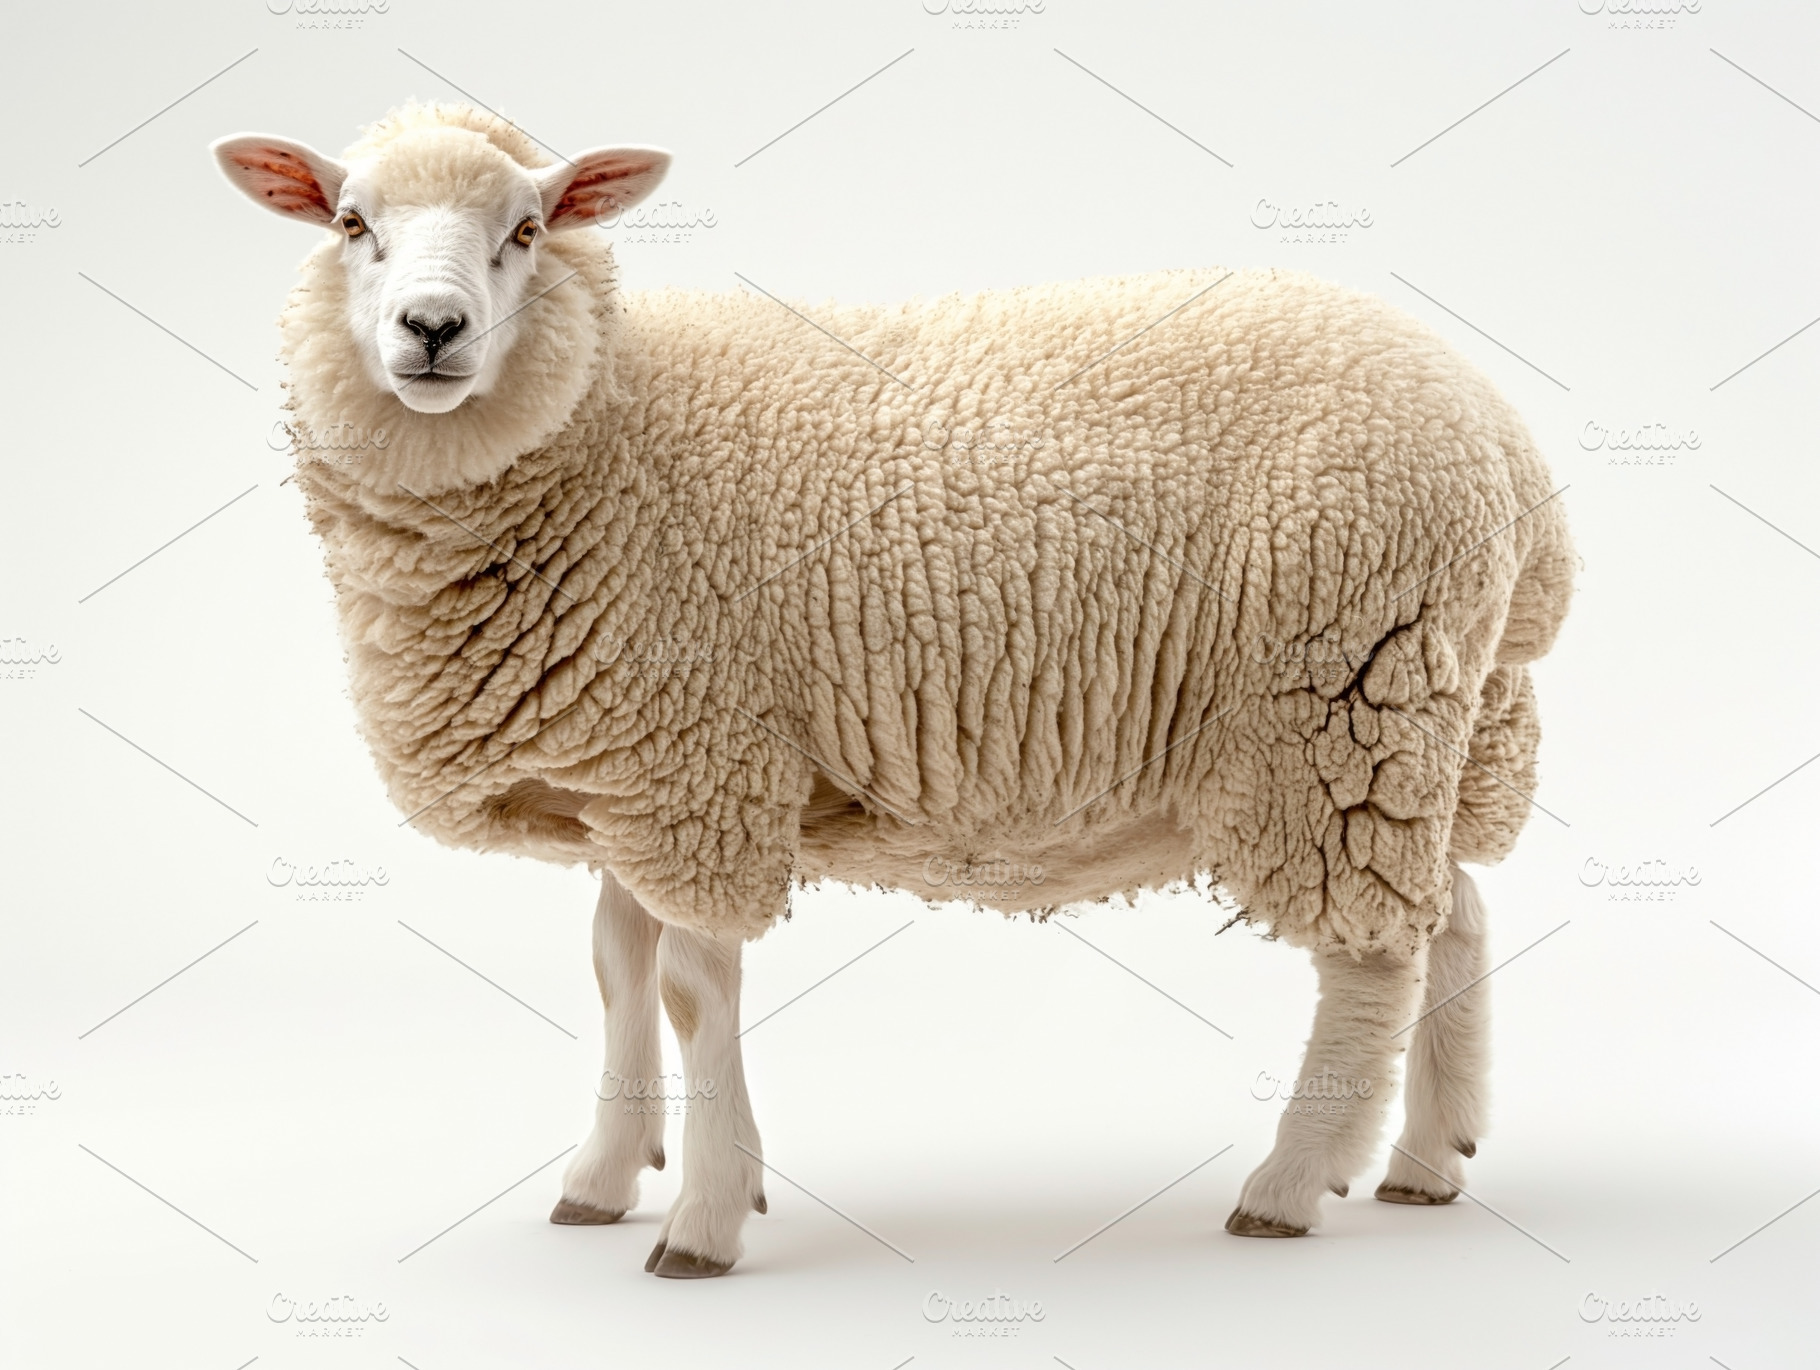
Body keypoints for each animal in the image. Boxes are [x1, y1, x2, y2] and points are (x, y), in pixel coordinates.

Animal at [213, 102, 1575, 1276]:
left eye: (528, 230)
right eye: (349, 223)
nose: (431, 328)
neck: (608, 429)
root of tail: (1509, 454)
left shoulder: (703, 764)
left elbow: (693, 988)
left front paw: (703, 1219)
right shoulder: (627, 767)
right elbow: (614, 965)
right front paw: (600, 1177)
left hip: (1332, 706)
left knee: (1369, 958)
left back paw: (1289, 1184)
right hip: (1425, 718)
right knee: (1450, 911)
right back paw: (1426, 1160)